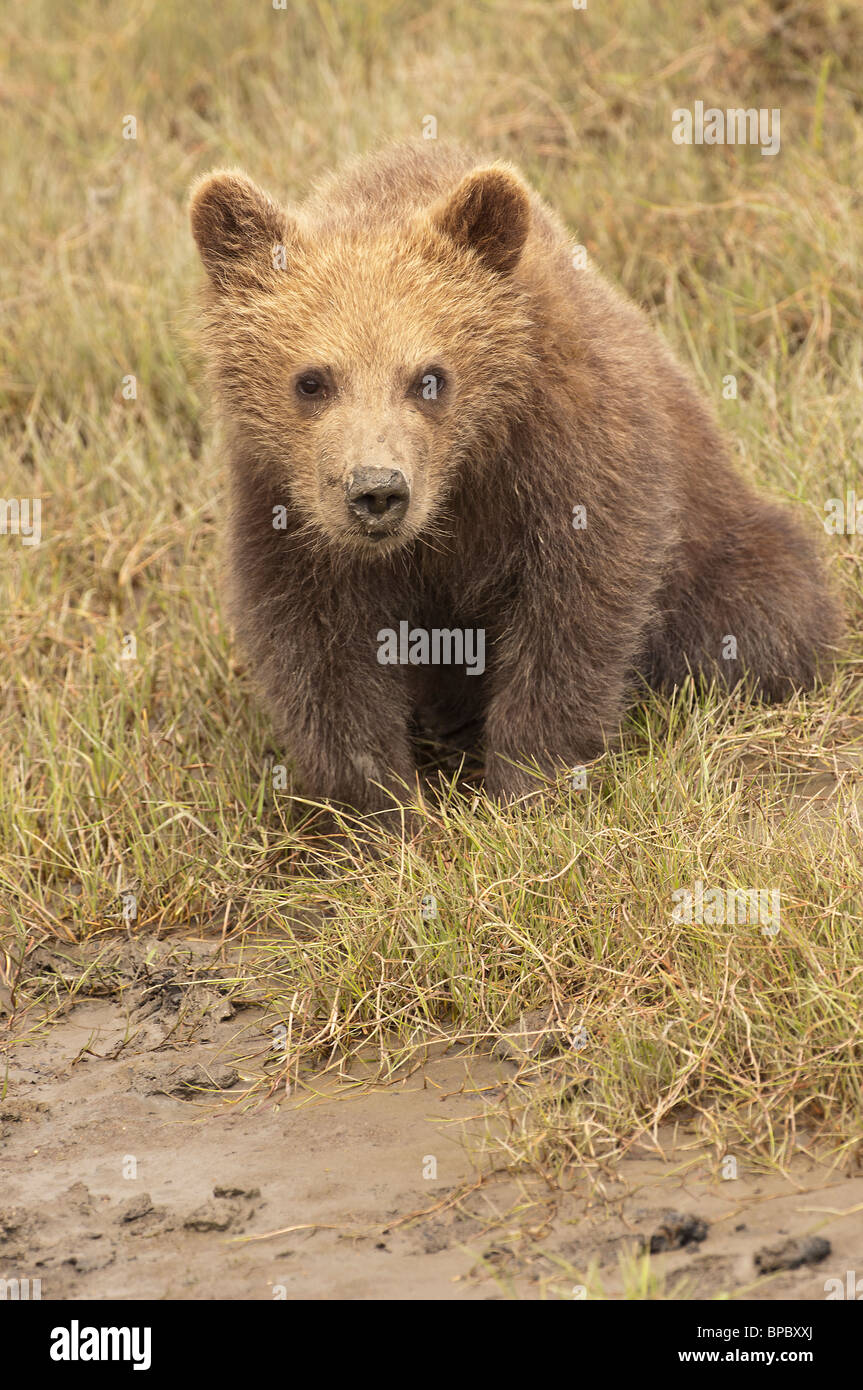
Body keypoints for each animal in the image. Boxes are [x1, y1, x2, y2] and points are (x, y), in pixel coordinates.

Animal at [189, 141, 842, 822]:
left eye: (430, 376)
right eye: (312, 380)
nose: (377, 490)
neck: (460, 482)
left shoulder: (569, 462)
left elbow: (572, 618)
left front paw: (526, 790)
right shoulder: (285, 510)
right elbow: (320, 658)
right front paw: (378, 814)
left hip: (720, 542)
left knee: (763, 616)